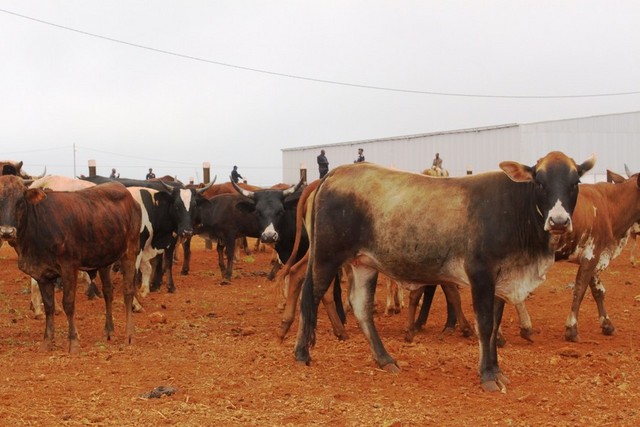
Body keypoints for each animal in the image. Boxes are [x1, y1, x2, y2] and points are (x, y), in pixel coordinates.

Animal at [0, 176, 141, 353]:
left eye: (20, 201)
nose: (7, 232)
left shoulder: (68, 268)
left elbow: (68, 304)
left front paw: (73, 342)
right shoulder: (41, 274)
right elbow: (49, 306)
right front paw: (47, 342)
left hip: (130, 251)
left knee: (128, 291)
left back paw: (129, 335)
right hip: (104, 258)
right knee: (108, 292)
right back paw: (109, 331)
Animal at [294, 152, 595, 392]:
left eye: (575, 182)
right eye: (539, 182)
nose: (559, 221)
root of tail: (334, 174)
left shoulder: (500, 280)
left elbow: (494, 325)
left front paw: (497, 371)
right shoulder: (480, 275)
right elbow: (485, 325)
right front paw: (487, 376)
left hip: (363, 263)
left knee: (361, 307)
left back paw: (385, 359)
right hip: (325, 257)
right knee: (310, 297)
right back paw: (301, 353)